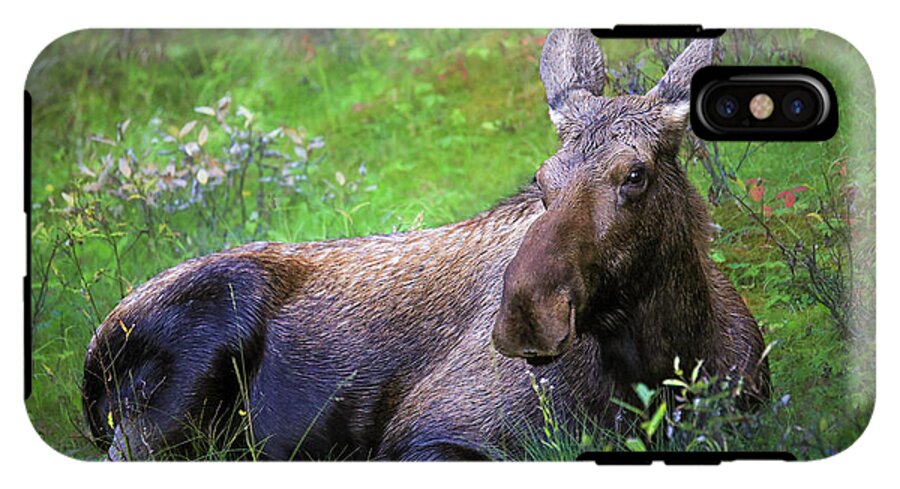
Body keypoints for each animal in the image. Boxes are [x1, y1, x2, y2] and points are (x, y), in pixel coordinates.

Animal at [84, 30, 768, 462]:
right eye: (542, 178)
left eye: (635, 174)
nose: (526, 314)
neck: (666, 364)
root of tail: (92, 361)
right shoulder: (430, 434)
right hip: (173, 392)